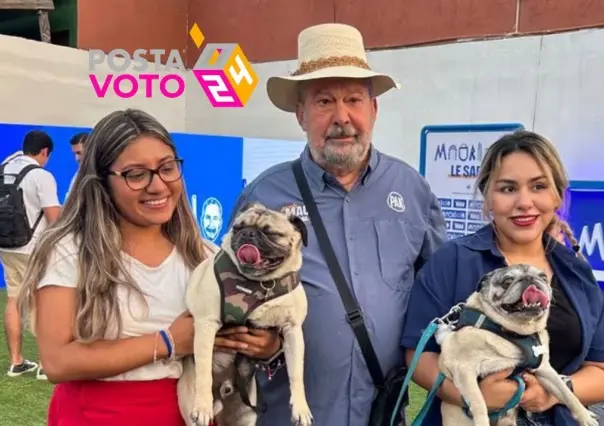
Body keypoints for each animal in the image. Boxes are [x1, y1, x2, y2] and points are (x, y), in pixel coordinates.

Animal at [178, 202, 312, 426]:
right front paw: (202, 405)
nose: (249, 233)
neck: (261, 282)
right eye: (238, 227)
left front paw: (301, 408)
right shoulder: (206, 325)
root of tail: (223, 392)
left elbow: (296, 374)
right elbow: (203, 372)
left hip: (244, 413)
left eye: (271, 233)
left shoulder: (293, 331)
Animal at [436, 262, 596, 426]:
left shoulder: (544, 370)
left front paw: (585, 417)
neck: (515, 333)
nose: (529, 278)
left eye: (543, 277)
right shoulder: (464, 370)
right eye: (507, 282)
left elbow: (566, 392)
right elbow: (478, 403)